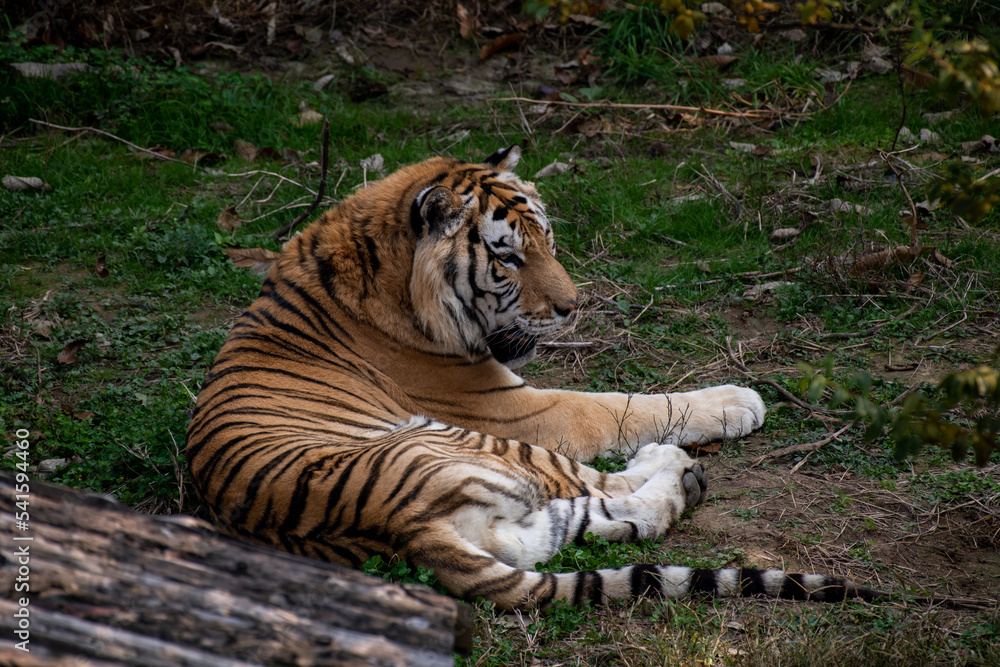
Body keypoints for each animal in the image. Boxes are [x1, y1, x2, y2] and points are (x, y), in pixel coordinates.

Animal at [186, 146, 880, 611]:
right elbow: (622, 403)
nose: (574, 306)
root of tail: (404, 530)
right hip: (469, 441)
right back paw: (674, 460)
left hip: (508, 511)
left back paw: (681, 482)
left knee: (613, 519)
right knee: (606, 481)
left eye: (547, 238)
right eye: (508, 257)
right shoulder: (513, 408)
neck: (388, 281)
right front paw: (738, 400)